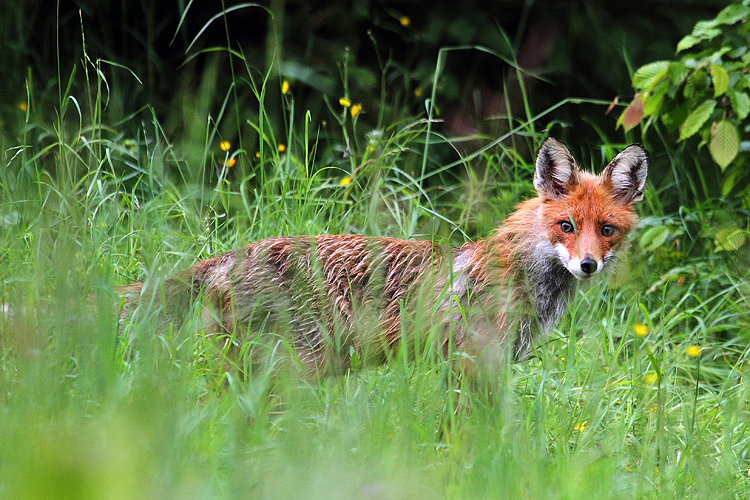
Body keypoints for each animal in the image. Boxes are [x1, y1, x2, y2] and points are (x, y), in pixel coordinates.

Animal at [120, 137, 648, 376]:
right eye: (566, 226)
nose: (587, 265)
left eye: (606, 230)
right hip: (297, 366)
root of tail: (235, 253)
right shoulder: (469, 361)